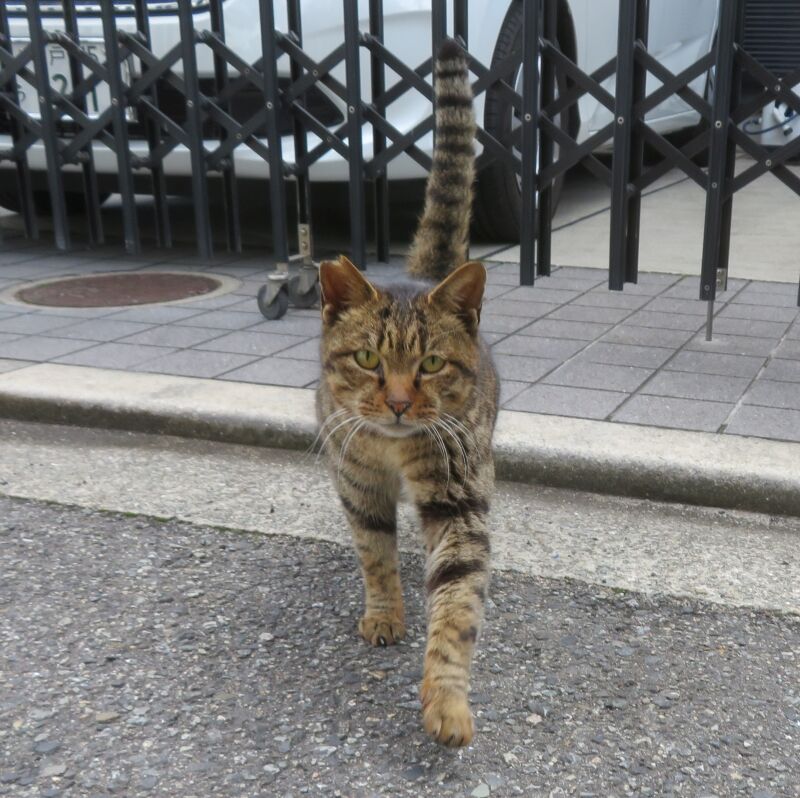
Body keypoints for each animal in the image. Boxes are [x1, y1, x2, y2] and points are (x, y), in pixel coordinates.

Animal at [316, 38, 498, 748]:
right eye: (369, 359)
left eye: (431, 364)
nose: (396, 403)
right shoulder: (357, 484)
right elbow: (375, 556)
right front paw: (386, 615)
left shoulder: (460, 500)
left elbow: (455, 609)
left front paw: (446, 701)